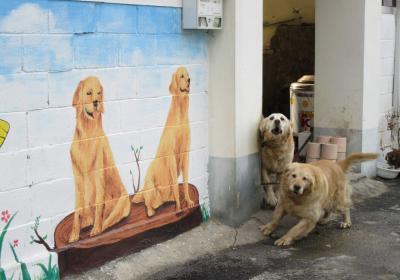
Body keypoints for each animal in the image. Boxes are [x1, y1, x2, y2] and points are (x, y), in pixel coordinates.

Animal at [69, 76, 130, 243]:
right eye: (89, 93)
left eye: (99, 93)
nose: (97, 102)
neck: (87, 136)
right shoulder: (77, 178)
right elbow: (77, 210)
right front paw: (74, 234)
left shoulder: (99, 173)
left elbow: (99, 205)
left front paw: (96, 229)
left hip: (121, 203)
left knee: (109, 219)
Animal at [133, 67, 195, 217]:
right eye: (182, 76)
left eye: (188, 75)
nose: (189, 80)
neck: (180, 115)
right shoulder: (171, 156)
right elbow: (175, 184)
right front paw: (179, 207)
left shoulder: (186, 153)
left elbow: (185, 182)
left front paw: (188, 201)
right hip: (149, 185)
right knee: (148, 203)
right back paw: (151, 211)